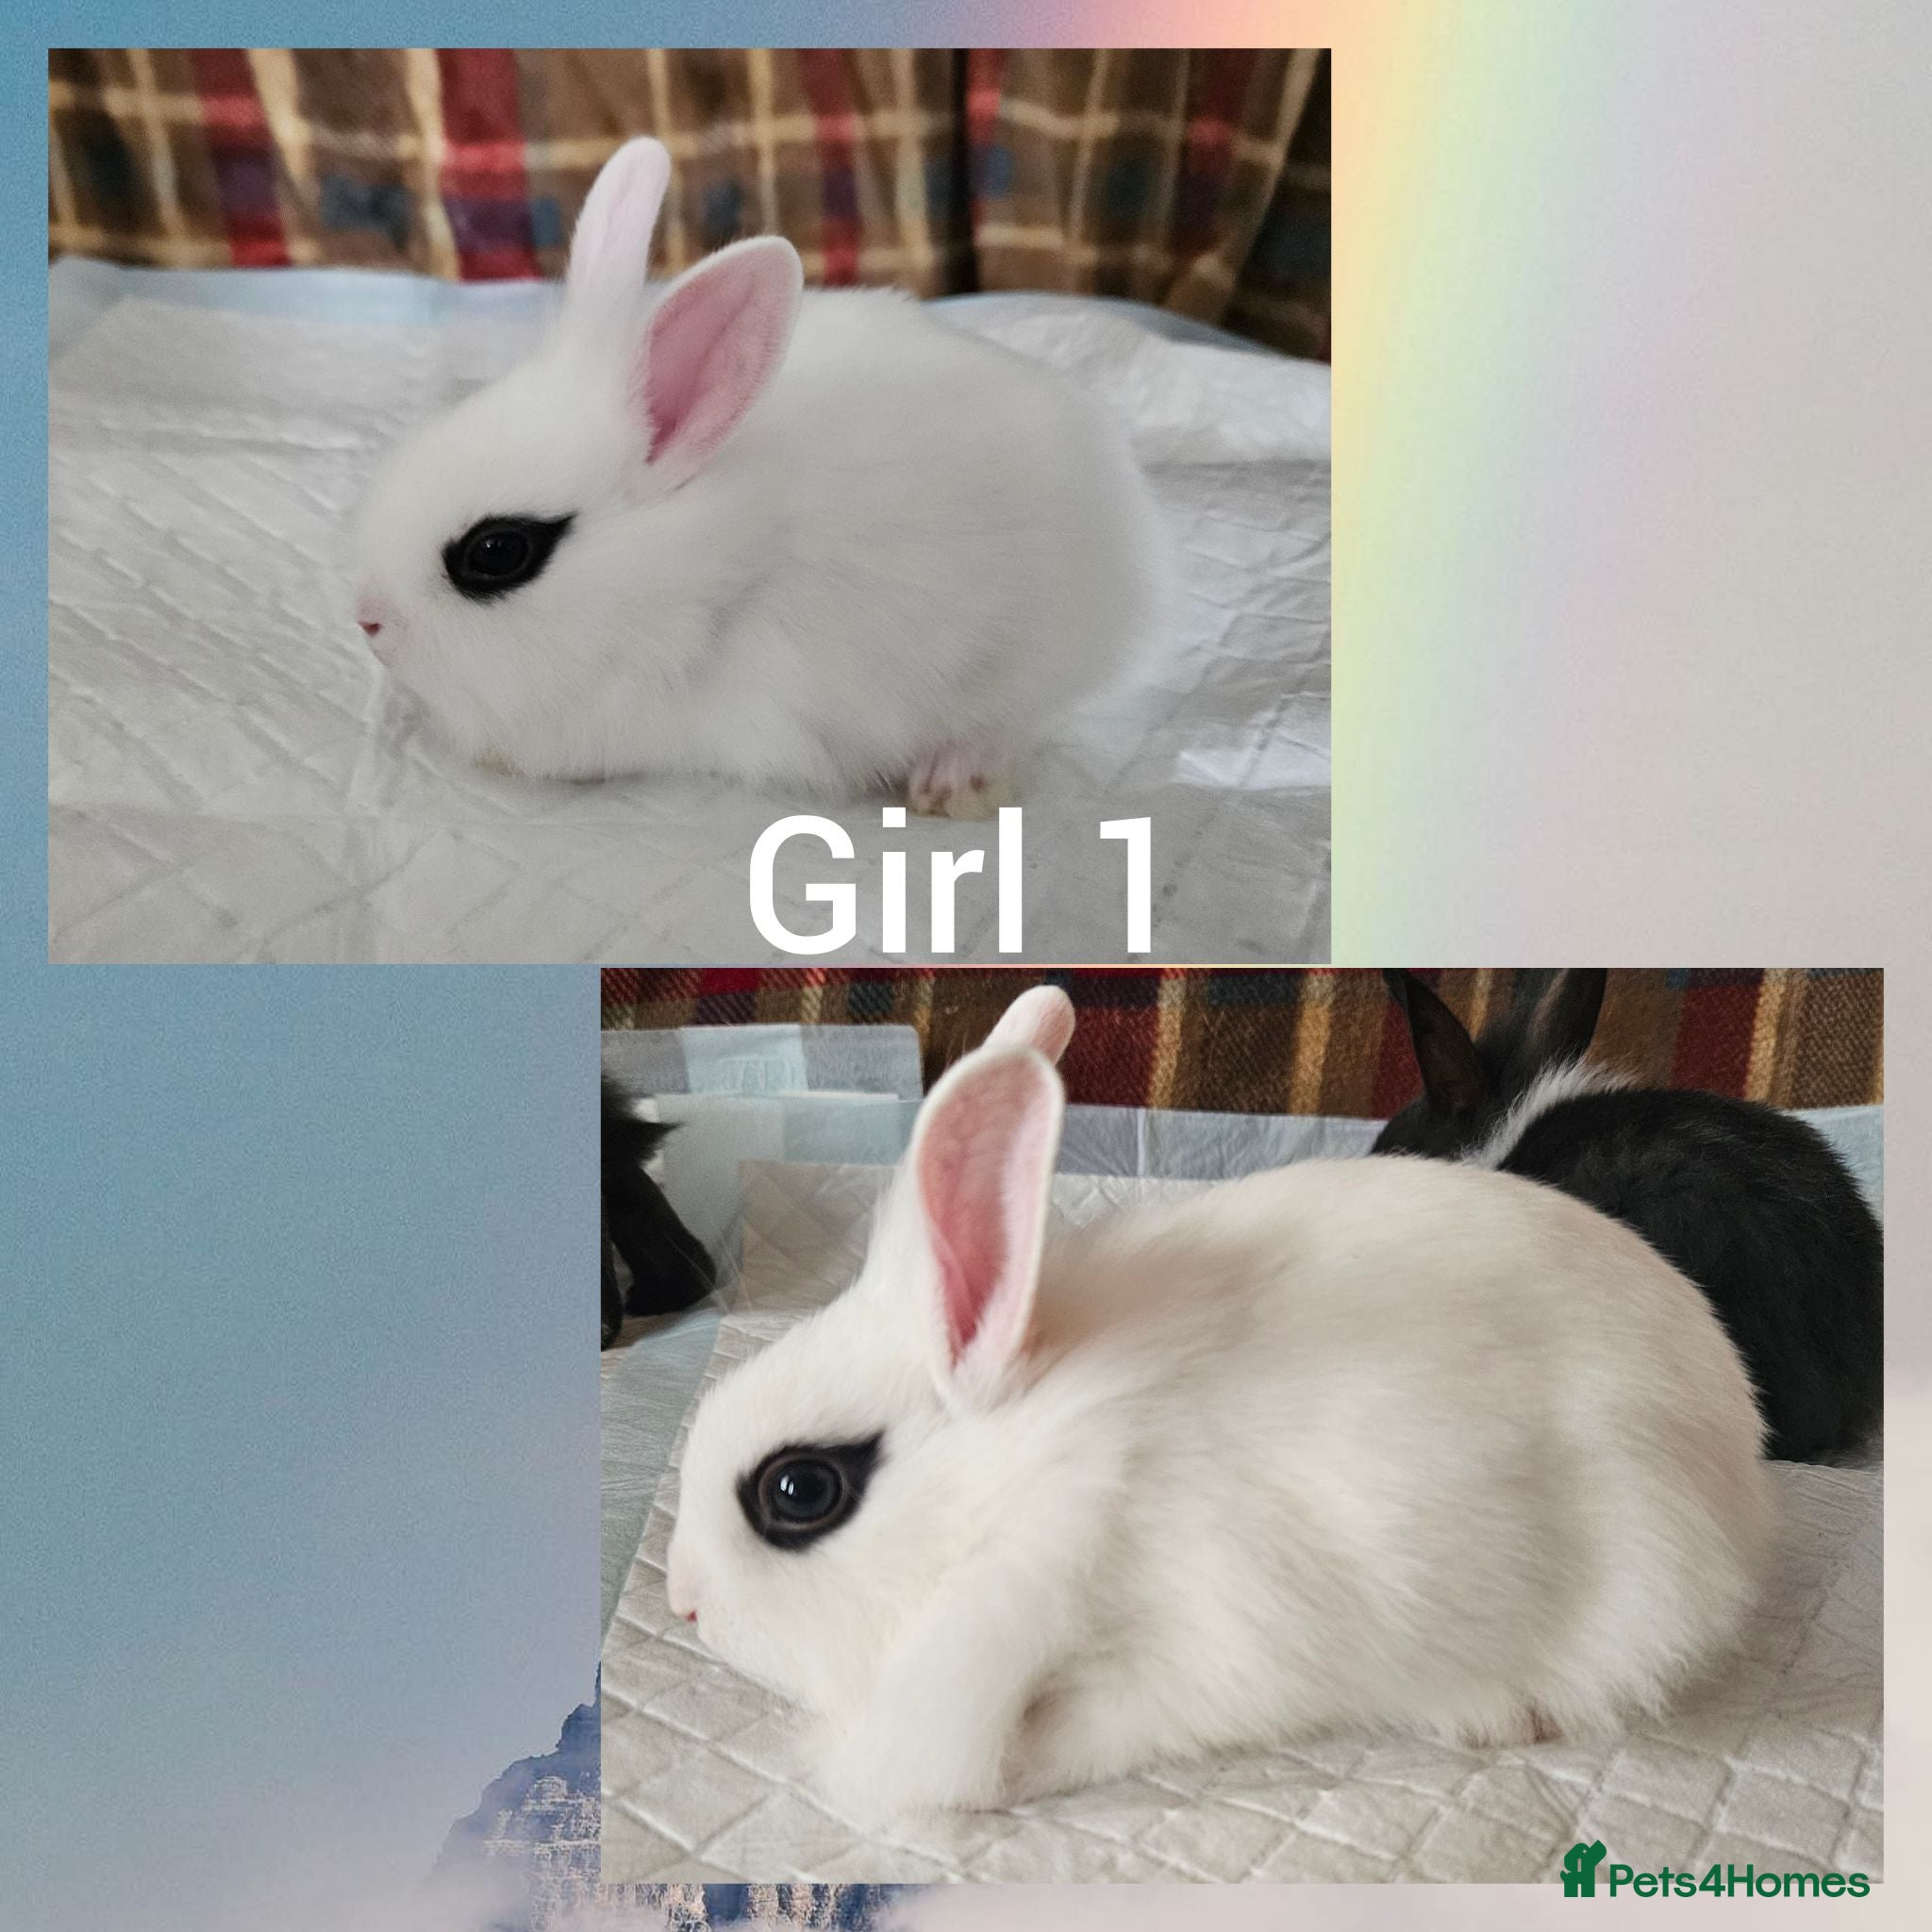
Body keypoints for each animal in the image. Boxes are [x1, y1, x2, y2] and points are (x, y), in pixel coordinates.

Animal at [662, 989, 1772, 1822]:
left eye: (799, 1490)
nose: (683, 1602)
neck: (1030, 1477)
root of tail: (1736, 1436)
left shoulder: (1192, 1651)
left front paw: (1015, 1768)